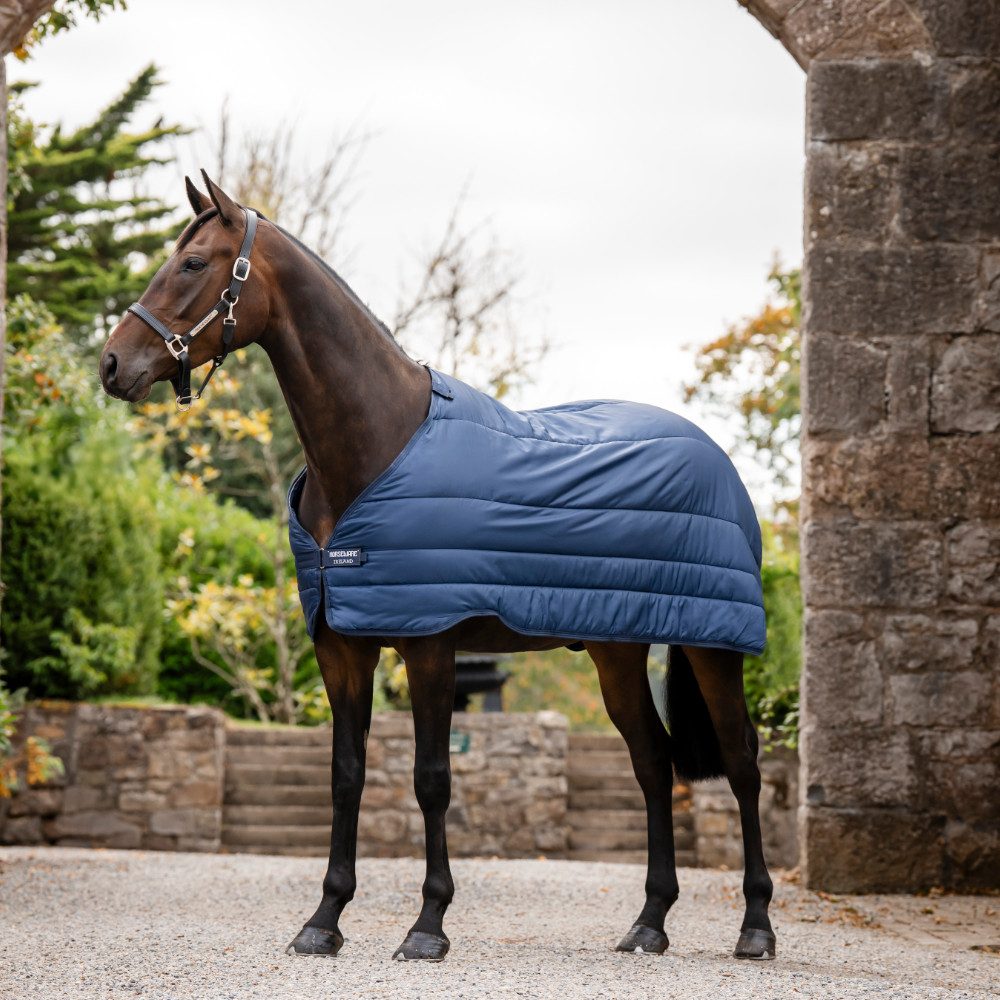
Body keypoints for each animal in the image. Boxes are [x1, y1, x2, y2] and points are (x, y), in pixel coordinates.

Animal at [99, 172, 776, 963]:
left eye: (193, 264)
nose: (112, 365)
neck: (378, 444)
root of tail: (715, 455)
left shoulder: (429, 645)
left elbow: (431, 780)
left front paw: (427, 925)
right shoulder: (343, 648)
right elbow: (347, 775)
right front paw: (324, 921)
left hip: (711, 646)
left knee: (742, 761)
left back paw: (756, 927)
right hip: (617, 650)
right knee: (654, 764)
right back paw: (649, 924)